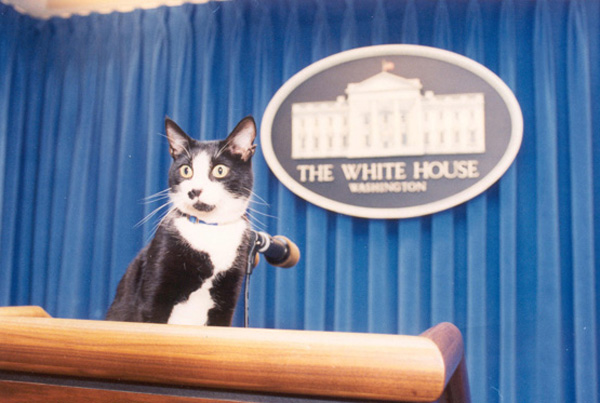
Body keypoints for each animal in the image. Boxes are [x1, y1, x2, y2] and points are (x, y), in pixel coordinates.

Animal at [106, 115, 256, 326]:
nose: (195, 190)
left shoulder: (227, 298)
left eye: (220, 170)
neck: (209, 229)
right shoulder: (155, 286)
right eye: (186, 170)